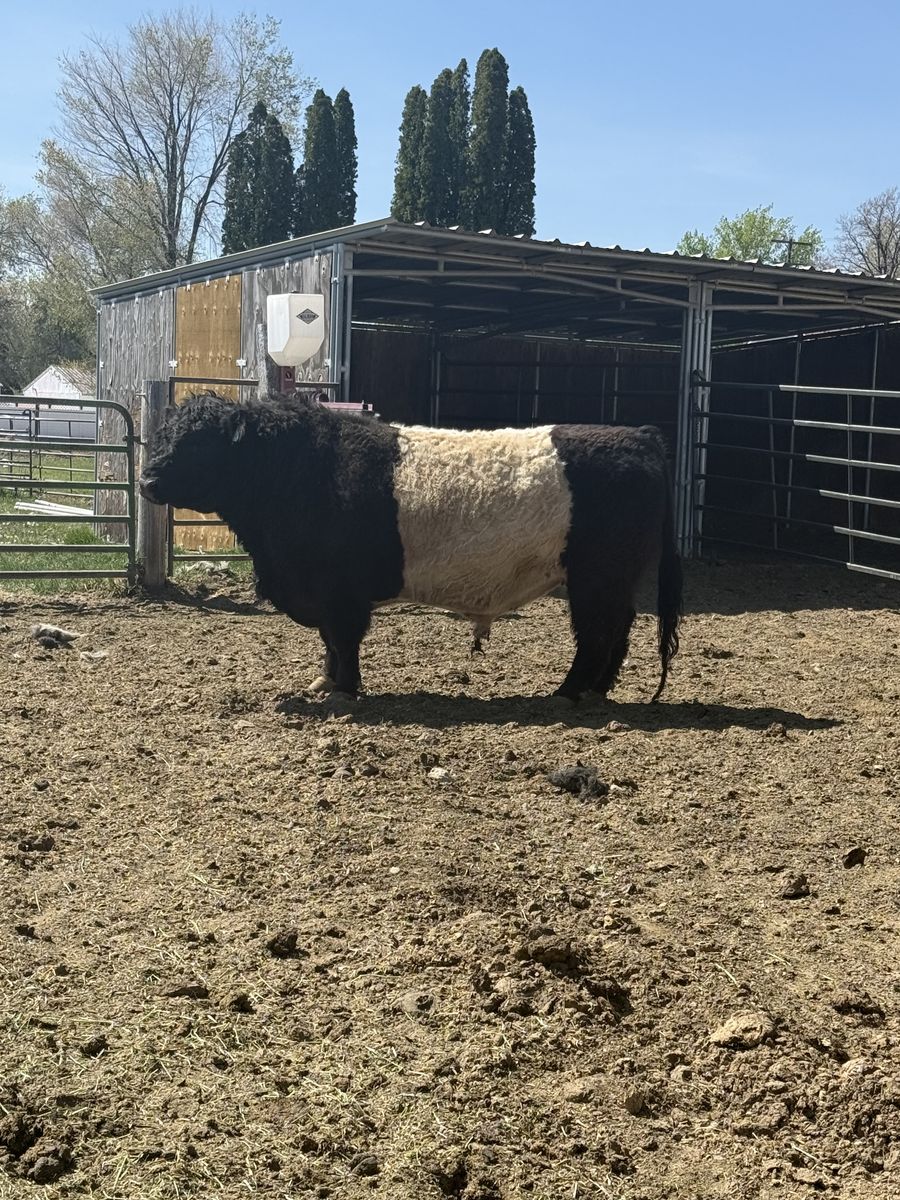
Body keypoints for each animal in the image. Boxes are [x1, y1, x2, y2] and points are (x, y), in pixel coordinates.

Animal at [139, 392, 682, 702]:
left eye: (199, 441)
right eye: (164, 435)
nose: (145, 480)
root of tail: (639, 436)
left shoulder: (339, 592)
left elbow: (343, 639)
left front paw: (343, 690)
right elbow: (329, 643)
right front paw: (324, 681)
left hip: (596, 577)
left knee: (596, 634)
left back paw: (566, 694)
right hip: (612, 579)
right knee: (618, 630)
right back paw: (596, 691)